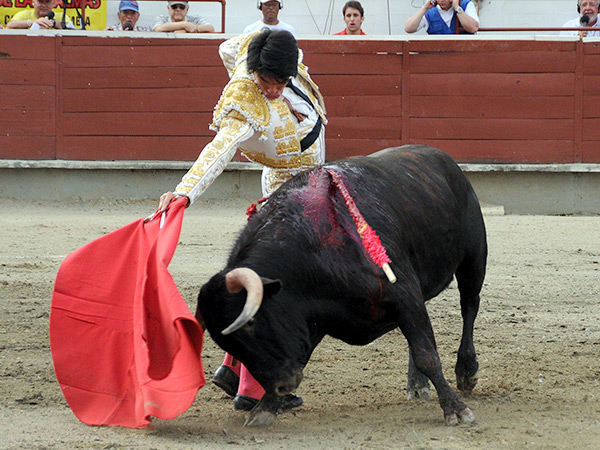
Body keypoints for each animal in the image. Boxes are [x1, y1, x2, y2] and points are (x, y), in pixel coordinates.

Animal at [197, 144, 488, 426]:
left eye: (252, 323)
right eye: (228, 344)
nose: (282, 386)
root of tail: (445, 160)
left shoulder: (405, 295)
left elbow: (426, 354)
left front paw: (456, 409)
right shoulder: (310, 319)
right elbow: (302, 355)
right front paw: (265, 407)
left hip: (473, 260)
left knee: (469, 307)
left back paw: (466, 371)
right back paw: (417, 384)